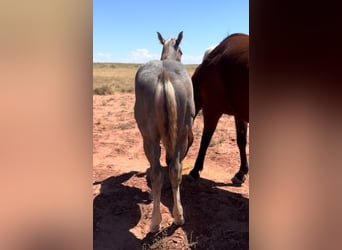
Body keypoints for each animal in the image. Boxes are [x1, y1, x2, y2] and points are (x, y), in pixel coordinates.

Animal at [133, 31, 194, 232]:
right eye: (181, 51)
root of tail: (164, 75)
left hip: (149, 139)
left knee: (157, 172)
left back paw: (155, 222)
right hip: (181, 135)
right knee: (174, 170)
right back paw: (178, 217)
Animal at [188, 33, 250, 185]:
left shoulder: (212, 109)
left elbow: (205, 139)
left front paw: (195, 170)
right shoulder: (239, 113)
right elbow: (241, 140)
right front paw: (241, 173)